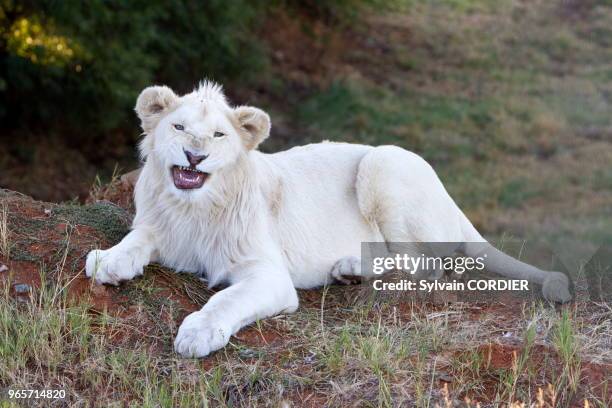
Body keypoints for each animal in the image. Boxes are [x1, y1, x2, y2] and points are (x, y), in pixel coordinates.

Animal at [86, 80, 572, 356]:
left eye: (219, 135)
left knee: (424, 267)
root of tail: (452, 202)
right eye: (179, 128)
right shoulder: (157, 226)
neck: (194, 207)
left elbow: (226, 300)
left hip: (382, 163)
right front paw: (107, 261)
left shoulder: (268, 275)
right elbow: (135, 240)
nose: (194, 155)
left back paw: (351, 268)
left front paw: (198, 334)